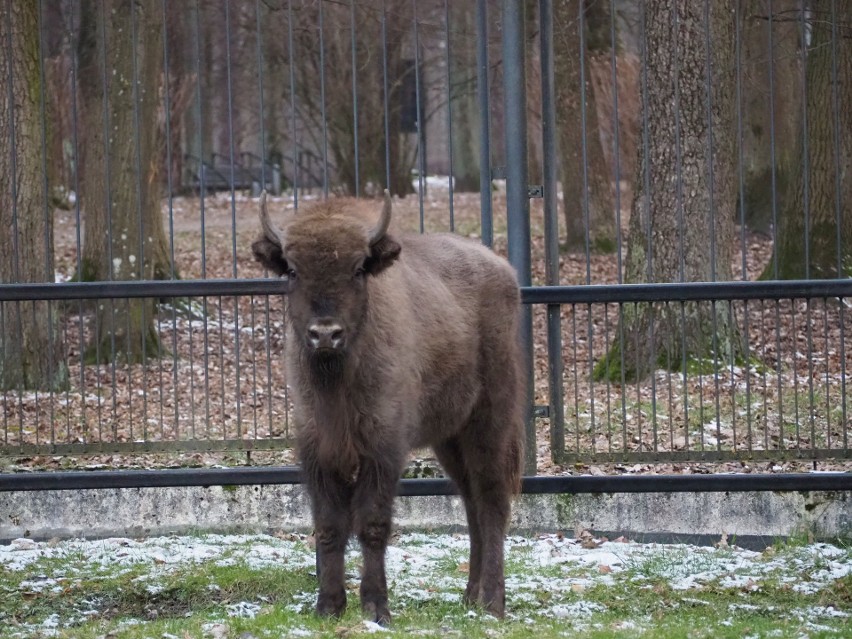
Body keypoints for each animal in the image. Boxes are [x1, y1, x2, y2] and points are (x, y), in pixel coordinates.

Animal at [250, 190, 524, 624]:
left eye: (359, 268)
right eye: (292, 270)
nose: (325, 334)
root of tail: (502, 269)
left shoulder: (383, 447)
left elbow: (372, 523)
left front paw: (377, 607)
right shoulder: (318, 450)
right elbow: (329, 525)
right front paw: (328, 607)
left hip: (491, 420)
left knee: (492, 499)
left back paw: (493, 603)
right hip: (449, 438)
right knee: (471, 504)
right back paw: (470, 596)